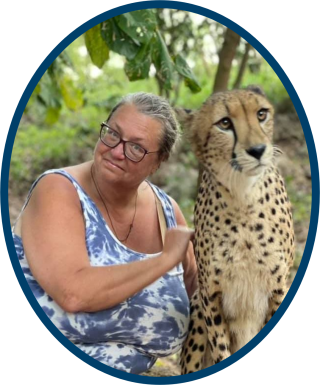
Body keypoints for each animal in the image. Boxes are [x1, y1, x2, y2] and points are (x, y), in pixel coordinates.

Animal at [175, 86, 296, 372]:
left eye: (261, 114)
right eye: (225, 123)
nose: (258, 150)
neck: (243, 198)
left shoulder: (278, 287)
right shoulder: (210, 294)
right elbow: (221, 348)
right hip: (196, 306)